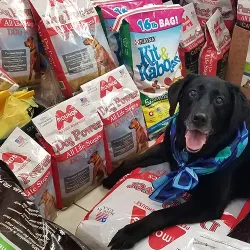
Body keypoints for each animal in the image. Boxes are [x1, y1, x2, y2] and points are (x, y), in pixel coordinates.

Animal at [104, 74, 250, 250]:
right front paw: (110, 179)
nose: (199, 118)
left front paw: (130, 232)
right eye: (193, 92)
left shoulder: (209, 205)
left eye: (219, 100)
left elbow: (162, 213)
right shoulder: (165, 148)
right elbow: (129, 161)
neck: (189, 158)